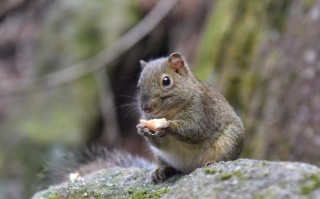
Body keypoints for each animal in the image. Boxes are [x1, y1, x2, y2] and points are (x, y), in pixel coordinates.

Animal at [136, 52, 245, 182]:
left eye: (166, 81)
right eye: (138, 85)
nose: (146, 108)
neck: (169, 113)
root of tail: (189, 169)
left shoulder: (200, 109)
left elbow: (194, 129)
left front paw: (169, 126)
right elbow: (161, 144)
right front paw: (141, 129)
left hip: (230, 140)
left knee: (225, 158)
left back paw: (211, 162)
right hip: (160, 156)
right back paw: (163, 170)